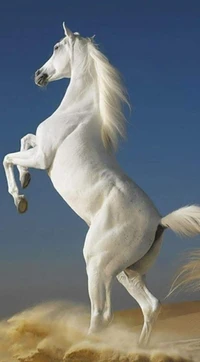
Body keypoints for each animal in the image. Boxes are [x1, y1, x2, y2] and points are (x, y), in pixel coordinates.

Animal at [2, 22, 200, 346]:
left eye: (56, 47)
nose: (38, 75)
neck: (78, 112)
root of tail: (159, 221)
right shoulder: (39, 148)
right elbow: (24, 140)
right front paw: (27, 180)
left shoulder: (43, 157)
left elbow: (8, 156)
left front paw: (20, 199)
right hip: (125, 272)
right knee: (151, 306)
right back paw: (138, 349)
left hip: (97, 265)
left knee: (103, 315)